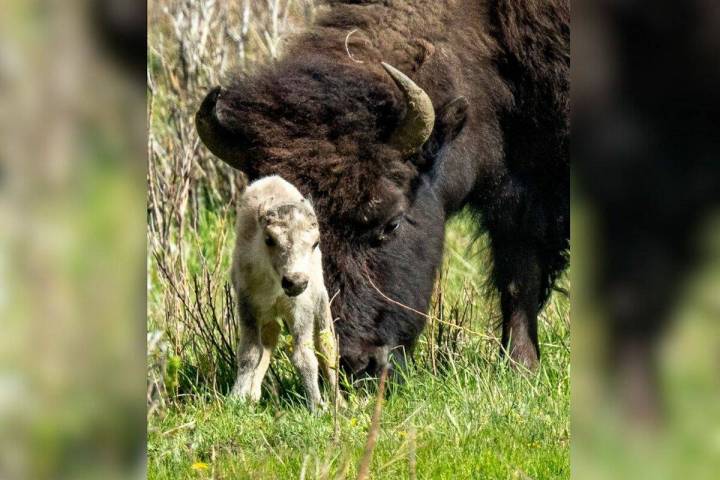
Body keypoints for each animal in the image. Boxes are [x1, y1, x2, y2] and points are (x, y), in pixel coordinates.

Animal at [195, 0, 568, 374]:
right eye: (270, 237)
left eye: (393, 223)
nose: (356, 363)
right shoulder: (515, 197)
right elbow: (517, 274)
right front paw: (521, 365)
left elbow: (521, 277)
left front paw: (520, 366)